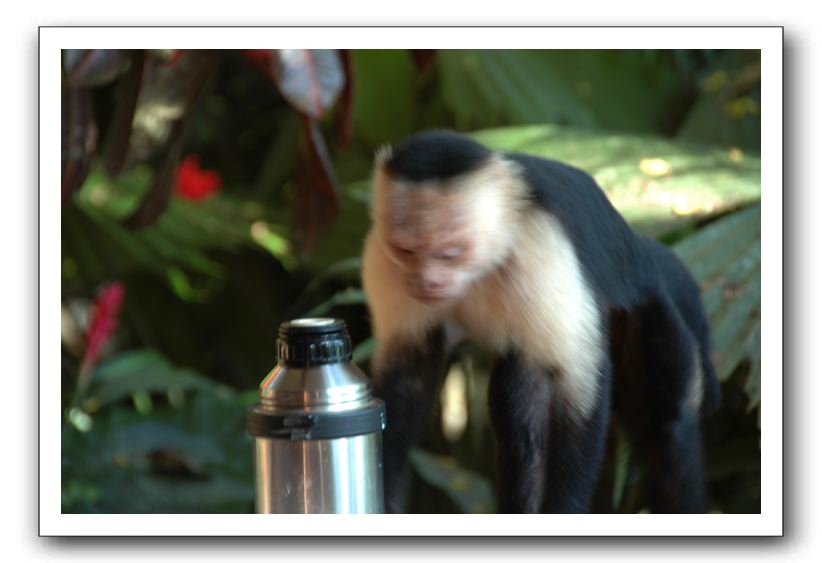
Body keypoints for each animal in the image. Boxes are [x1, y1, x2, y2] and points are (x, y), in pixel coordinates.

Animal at [360, 130, 721, 514]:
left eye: (450, 252)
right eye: (406, 250)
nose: (426, 282)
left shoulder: (540, 248)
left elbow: (577, 381)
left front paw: (564, 508)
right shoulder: (382, 259)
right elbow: (406, 377)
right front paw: (384, 491)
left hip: (651, 315)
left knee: (666, 426)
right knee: (520, 408)